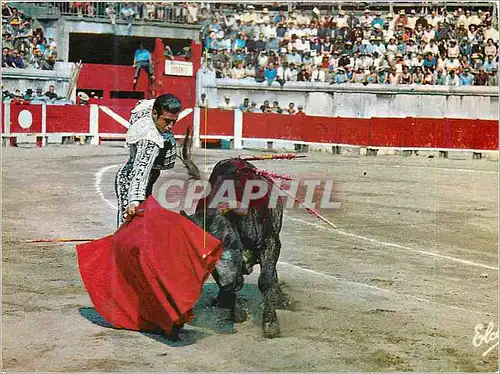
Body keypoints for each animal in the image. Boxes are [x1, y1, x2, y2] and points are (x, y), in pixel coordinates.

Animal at [181, 150, 290, 338]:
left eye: (226, 239)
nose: (228, 283)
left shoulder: (271, 242)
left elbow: (266, 280)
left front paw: (270, 323)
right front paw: (235, 310)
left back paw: (279, 299)